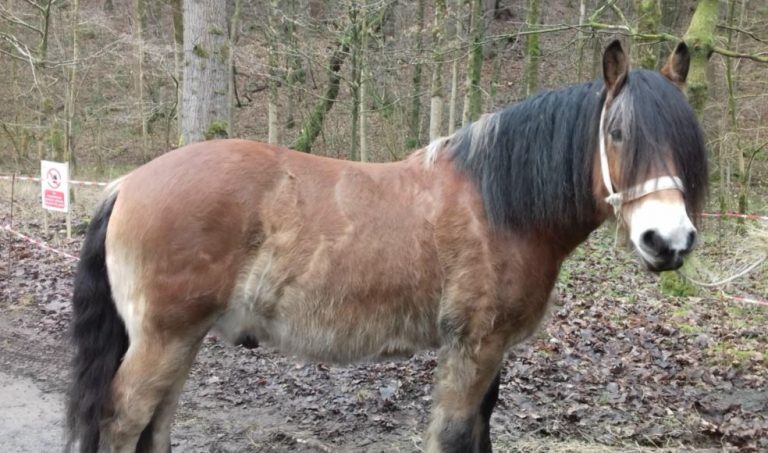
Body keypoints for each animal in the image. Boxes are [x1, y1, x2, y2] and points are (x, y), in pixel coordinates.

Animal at [66, 40, 708, 453]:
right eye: (618, 132)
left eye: (684, 138)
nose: (667, 240)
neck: (498, 204)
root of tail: (128, 184)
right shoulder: (473, 348)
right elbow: (455, 435)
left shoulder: (492, 352)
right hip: (163, 340)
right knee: (124, 422)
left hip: (182, 340)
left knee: (156, 425)